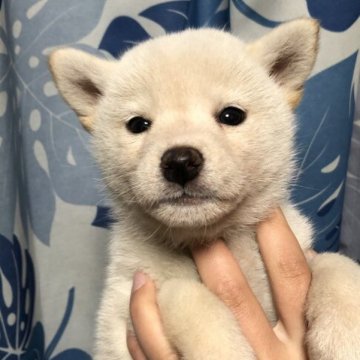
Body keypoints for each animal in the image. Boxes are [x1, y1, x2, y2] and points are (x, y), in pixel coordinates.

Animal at [49, 20, 360, 360]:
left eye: (231, 115)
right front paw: (225, 349)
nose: (180, 162)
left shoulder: (303, 253)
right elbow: (186, 295)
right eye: (137, 124)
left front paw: (346, 331)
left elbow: (334, 264)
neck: (214, 238)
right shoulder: (129, 300)